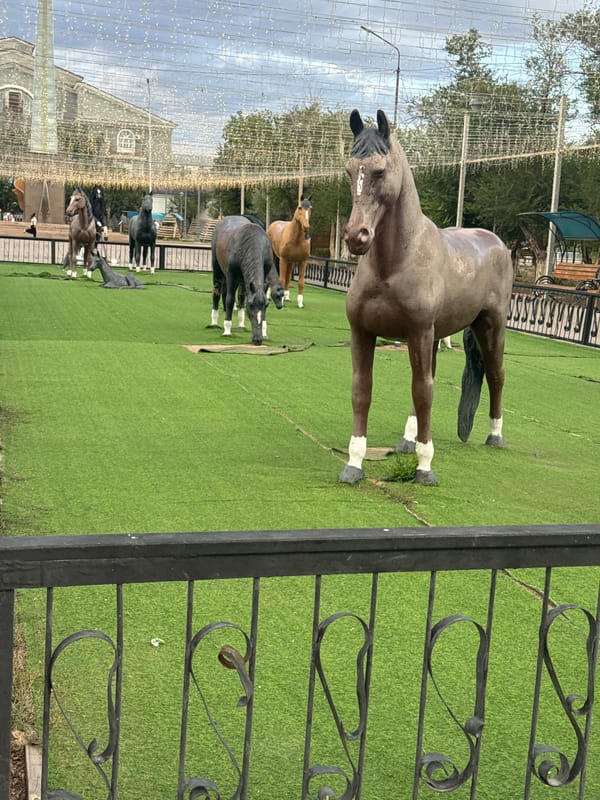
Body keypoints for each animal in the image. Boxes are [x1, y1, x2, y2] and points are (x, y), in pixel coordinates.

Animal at [211, 215, 285, 345]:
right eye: (250, 305)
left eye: (266, 305)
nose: (257, 340)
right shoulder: (231, 275)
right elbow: (230, 300)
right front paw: (227, 330)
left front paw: (264, 333)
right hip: (217, 269)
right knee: (217, 291)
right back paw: (214, 322)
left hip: (242, 280)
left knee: (240, 297)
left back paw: (241, 324)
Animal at [338, 109, 513, 486]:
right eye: (349, 169)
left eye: (379, 171)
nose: (356, 237)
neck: (394, 264)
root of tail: (495, 242)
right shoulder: (364, 333)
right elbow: (363, 391)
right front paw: (354, 464)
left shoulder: (418, 332)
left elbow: (425, 393)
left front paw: (425, 468)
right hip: (434, 337)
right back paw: (408, 441)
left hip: (490, 327)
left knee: (495, 375)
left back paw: (495, 435)